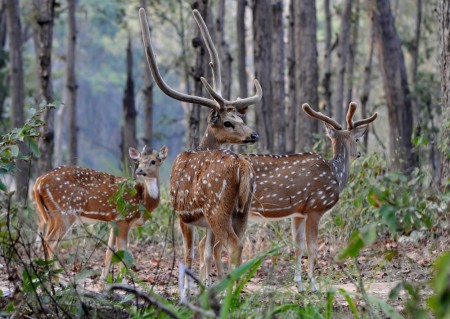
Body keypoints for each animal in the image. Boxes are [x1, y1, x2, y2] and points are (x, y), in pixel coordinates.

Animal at [32, 146, 168, 284]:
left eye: (153, 161)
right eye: (138, 161)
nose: (140, 170)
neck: (143, 199)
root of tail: (38, 182)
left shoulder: (113, 222)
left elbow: (109, 251)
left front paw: (103, 280)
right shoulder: (123, 219)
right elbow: (122, 252)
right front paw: (124, 283)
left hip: (51, 214)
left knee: (45, 239)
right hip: (65, 211)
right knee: (51, 241)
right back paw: (62, 281)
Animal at [139, 8, 262, 298]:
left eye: (238, 118)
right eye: (228, 122)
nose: (254, 135)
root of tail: (242, 167)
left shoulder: (183, 214)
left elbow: (188, 255)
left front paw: (186, 294)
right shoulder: (204, 222)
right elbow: (205, 253)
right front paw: (204, 289)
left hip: (218, 208)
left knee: (235, 246)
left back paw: (232, 296)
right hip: (243, 210)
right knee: (240, 243)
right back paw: (233, 290)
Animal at [202, 103, 378, 292]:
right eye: (357, 139)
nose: (358, 154)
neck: (336, 174)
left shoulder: (298, 213)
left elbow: (298, 247)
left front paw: (299, 284)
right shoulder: (316, 206)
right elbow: (312, 247)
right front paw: (313, 285)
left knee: (207, 245)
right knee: (213, 246)